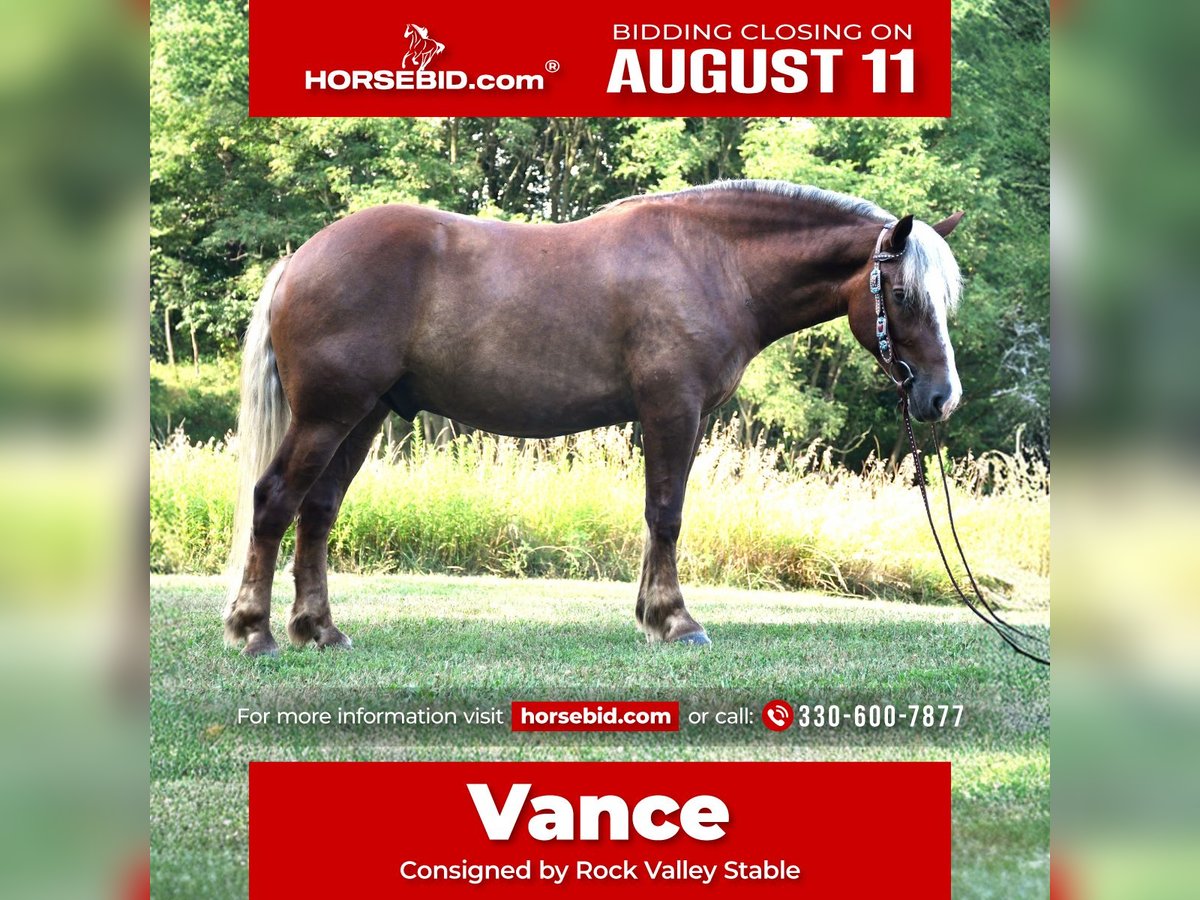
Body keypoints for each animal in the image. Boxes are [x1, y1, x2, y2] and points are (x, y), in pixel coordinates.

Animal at [222, 180, 964, 657]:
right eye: (902, 294)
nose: (941, 397)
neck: (711, 260)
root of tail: (300, 258)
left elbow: (658, 515)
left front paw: (652, 615)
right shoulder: (672, 410)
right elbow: (666, 514)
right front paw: (675, 621)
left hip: (364, 415)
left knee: (317, 511)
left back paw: (320, 630)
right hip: (330, 414)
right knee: (275, 500)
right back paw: (254, 631)